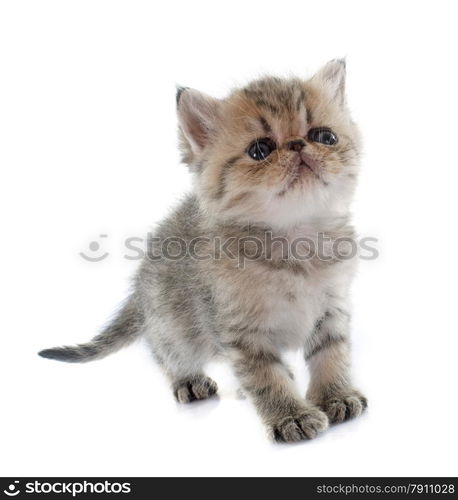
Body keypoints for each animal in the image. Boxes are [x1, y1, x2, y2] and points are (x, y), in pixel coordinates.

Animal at [39, 60, 368, 444]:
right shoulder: (238, 328)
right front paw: (291, 416)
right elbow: (264, 375)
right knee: (163, 349)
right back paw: (188, 380)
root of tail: (141, 282)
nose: (299, 145)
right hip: (173, 323)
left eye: (324, 136)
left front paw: (336, 396)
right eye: (260, 149)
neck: (295, 240)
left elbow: (331, 353)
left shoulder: (332, 307)